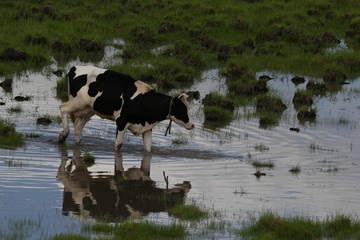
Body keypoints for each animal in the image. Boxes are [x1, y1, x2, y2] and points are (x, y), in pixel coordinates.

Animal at [59, 65, 194, 152]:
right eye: (183, 110)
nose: (192, 125)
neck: (144, 101)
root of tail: (75, 67)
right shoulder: (121, 121)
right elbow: (118, 145)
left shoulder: (146, 128)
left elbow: (149, 149)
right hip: (78, 102)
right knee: (63, 108)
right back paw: (63, 135)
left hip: (89, 109)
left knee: (78, 126)